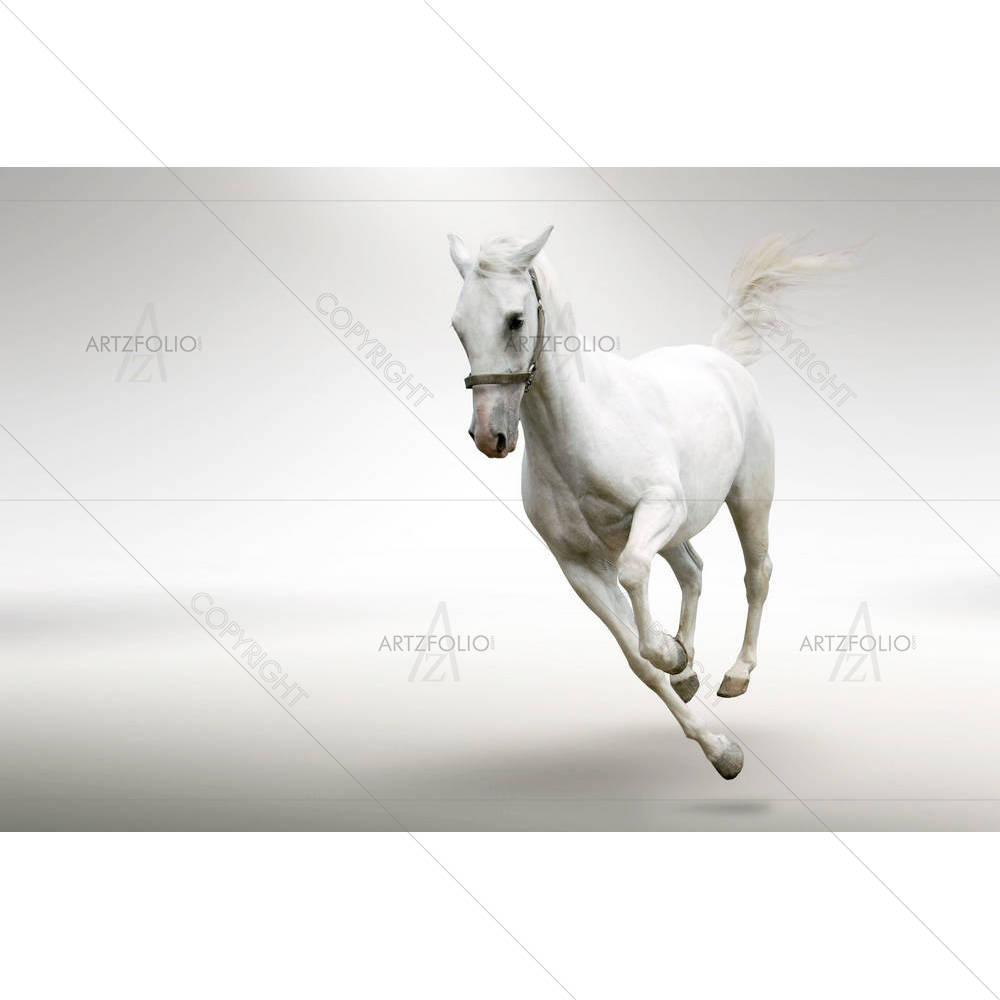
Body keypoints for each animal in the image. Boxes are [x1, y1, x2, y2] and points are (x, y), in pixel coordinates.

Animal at [446, 227, 848, 779]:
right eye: (458, 326)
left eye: (515, 319)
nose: (490, 436)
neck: (584, 429)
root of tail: (719, 357)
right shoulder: (577, 565)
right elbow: (638, 660)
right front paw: (718, 745)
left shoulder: (657, 510)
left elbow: (635, 576)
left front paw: (673, 657)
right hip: (679, 531)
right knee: (694, 571)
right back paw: (690, 670)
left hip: (747, 499)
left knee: (757, 574)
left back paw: (736, 674)